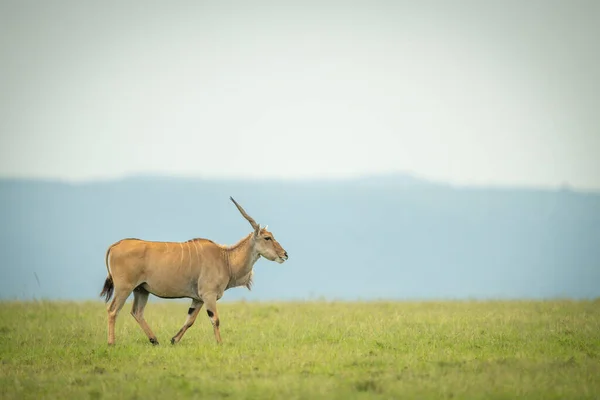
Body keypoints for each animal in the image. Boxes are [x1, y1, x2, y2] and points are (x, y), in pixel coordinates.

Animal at [98, 195, 288, 346]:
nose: (285, 254)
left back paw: (154, 340)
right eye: (267, 237)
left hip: (141, 290)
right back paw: (111, 343)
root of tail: (115, 245)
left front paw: (174, 340)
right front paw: (220, 344)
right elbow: (215, 319)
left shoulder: (197, 299)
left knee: (136, 312)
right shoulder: (209, 295)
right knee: (112, 310)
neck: (225, 259)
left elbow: (190, 320)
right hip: (124, 288)